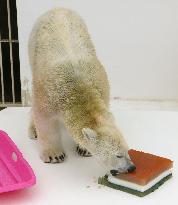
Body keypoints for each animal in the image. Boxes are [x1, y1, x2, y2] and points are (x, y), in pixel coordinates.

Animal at [28, 8, 136, 175]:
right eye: (118, 155)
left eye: (128, 150)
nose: (131, 168)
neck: (78, 89)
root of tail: (58, 8)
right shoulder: (48, 94)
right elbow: (44, 120)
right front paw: (54, 155)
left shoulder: (101, 85)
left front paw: (83, 149)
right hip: (33, 44)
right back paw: (33, 130)